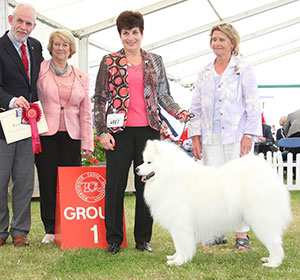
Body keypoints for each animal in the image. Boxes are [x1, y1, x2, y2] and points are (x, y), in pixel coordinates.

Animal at [135, 140, 290, 266]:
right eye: (143, 160)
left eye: (149, 162)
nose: (136, 169)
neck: (169, 177)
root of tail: (269, 174)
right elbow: (179, 246)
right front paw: (174, 258)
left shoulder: (180, 224)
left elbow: (181, 245)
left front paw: (179, 261)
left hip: (261, 220)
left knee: (275, 243)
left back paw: (272, 263)